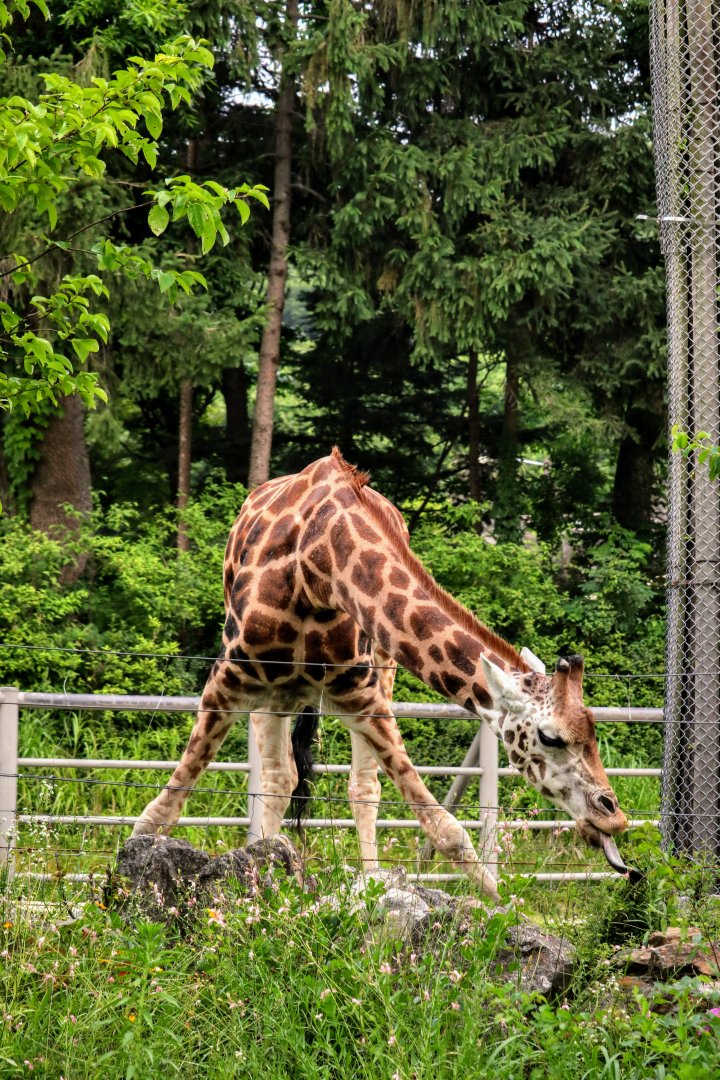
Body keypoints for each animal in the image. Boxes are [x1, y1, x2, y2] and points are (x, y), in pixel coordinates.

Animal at [133, 449, 631, 900]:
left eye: (593, 729)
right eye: (550, 737)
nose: (614, 815)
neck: (316, 565)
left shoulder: (360, 694)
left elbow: (445, 828)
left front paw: (502, 908)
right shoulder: (227, 678)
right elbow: (161, 810)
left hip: (371, 676)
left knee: (355, 784)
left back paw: (363, 878)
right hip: (273, 693)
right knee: (277, 778)